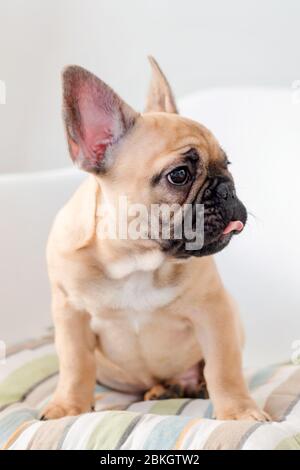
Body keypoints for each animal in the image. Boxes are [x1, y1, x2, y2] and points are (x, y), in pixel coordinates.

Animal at [41, 57, 270, 420]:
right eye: (179, 175)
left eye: (228, 164)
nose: (226, 189)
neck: (135, 260)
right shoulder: (70, 313)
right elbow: (76, 365)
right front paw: (68, 407)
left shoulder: (215, 312)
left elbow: (223, 367)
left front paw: (238, 411)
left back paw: (186, 386)